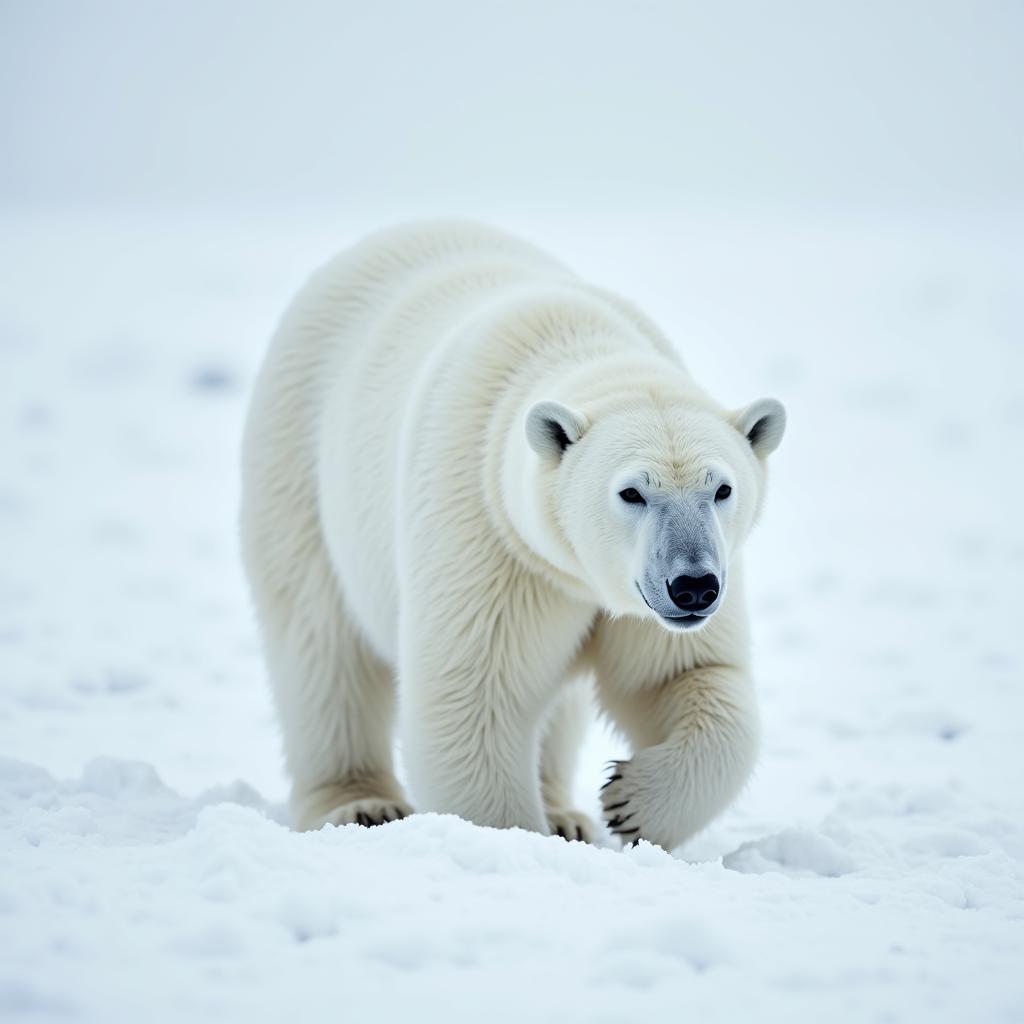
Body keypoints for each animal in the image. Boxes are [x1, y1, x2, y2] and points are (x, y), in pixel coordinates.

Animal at [239, 222, 782, 847]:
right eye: (631, 492)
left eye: (722, 489)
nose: (692, 585)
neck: (573, 339)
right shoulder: (487, 533)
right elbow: (474, 694)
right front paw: (513, 835)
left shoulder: (630, 596)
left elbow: (685, 674)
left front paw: (629, 800)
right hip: (299, 468)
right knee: (321, 645)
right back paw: (360, 803)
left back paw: (566, 814)